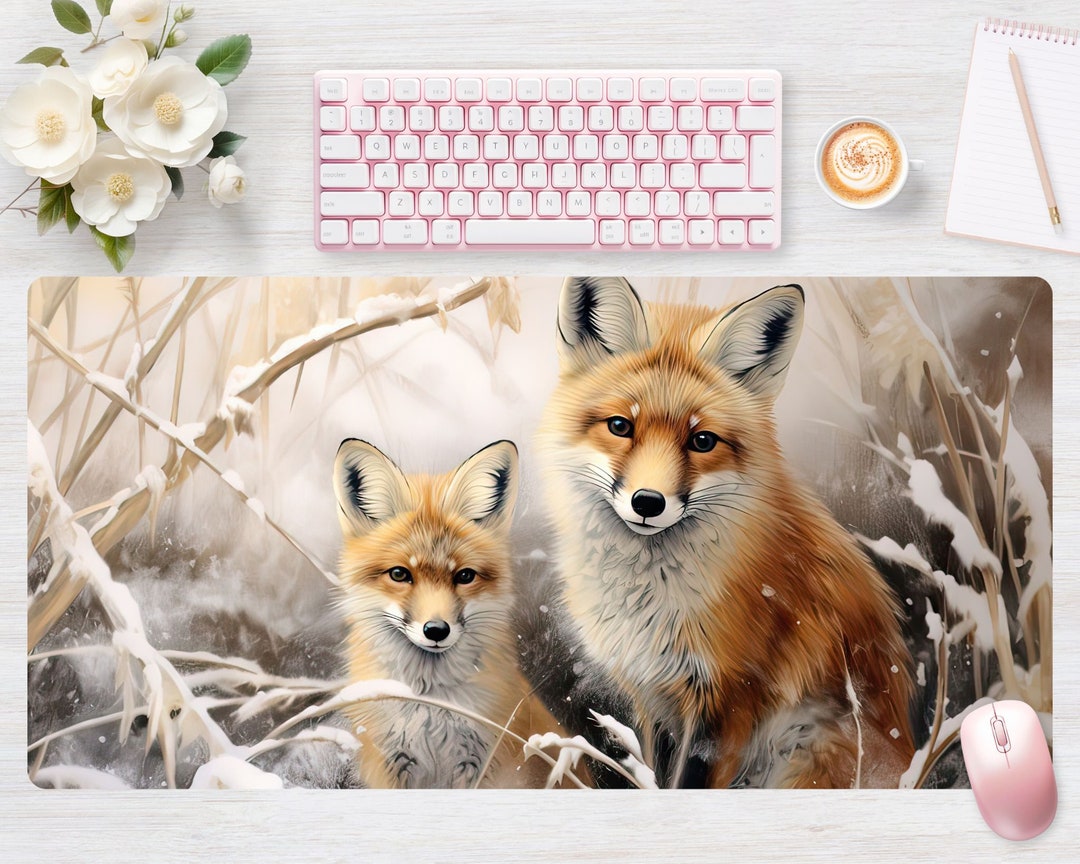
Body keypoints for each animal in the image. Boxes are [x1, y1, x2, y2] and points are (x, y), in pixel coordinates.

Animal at [332, 438, 570, 789]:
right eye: (400, 574)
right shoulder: (389, 763)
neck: (431, 706)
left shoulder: (484, 762)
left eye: (464, 576)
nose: (436, 630)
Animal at [536, 276, 916, 789]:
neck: (654, 603)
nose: (647, 503)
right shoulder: (654, 696)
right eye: (620, 426)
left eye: (702, 440)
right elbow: (657, 775)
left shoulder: (730, 699)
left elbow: (688, 784)